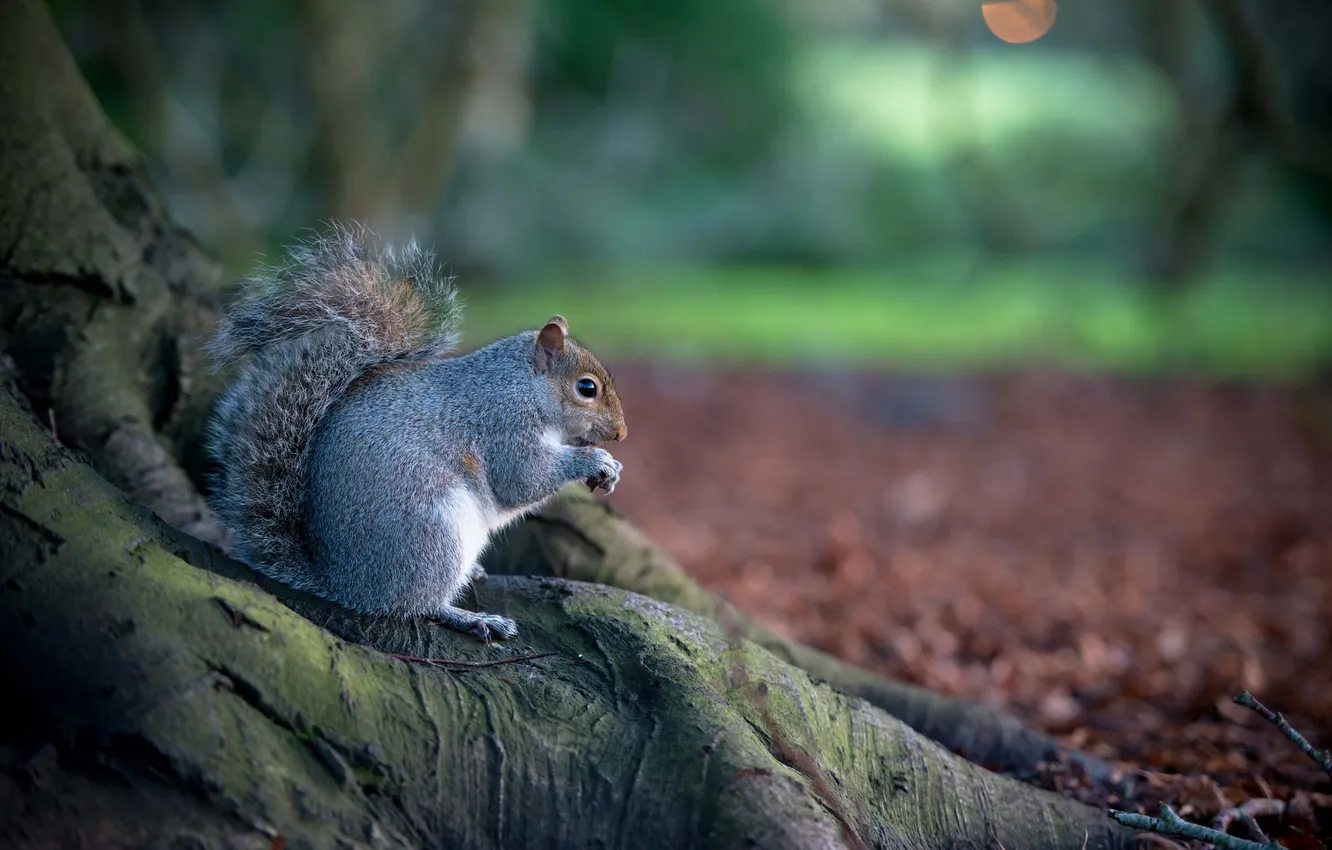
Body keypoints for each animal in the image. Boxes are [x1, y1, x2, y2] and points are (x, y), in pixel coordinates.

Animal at [203, 223, 628, 642]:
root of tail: (341, 583)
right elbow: (522, 479)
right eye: (586, 388)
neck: (523, 386)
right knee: (415, 604)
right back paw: (469, 617)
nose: (622, 434)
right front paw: (594, 460)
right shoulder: (503, 425)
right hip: (432, 534)